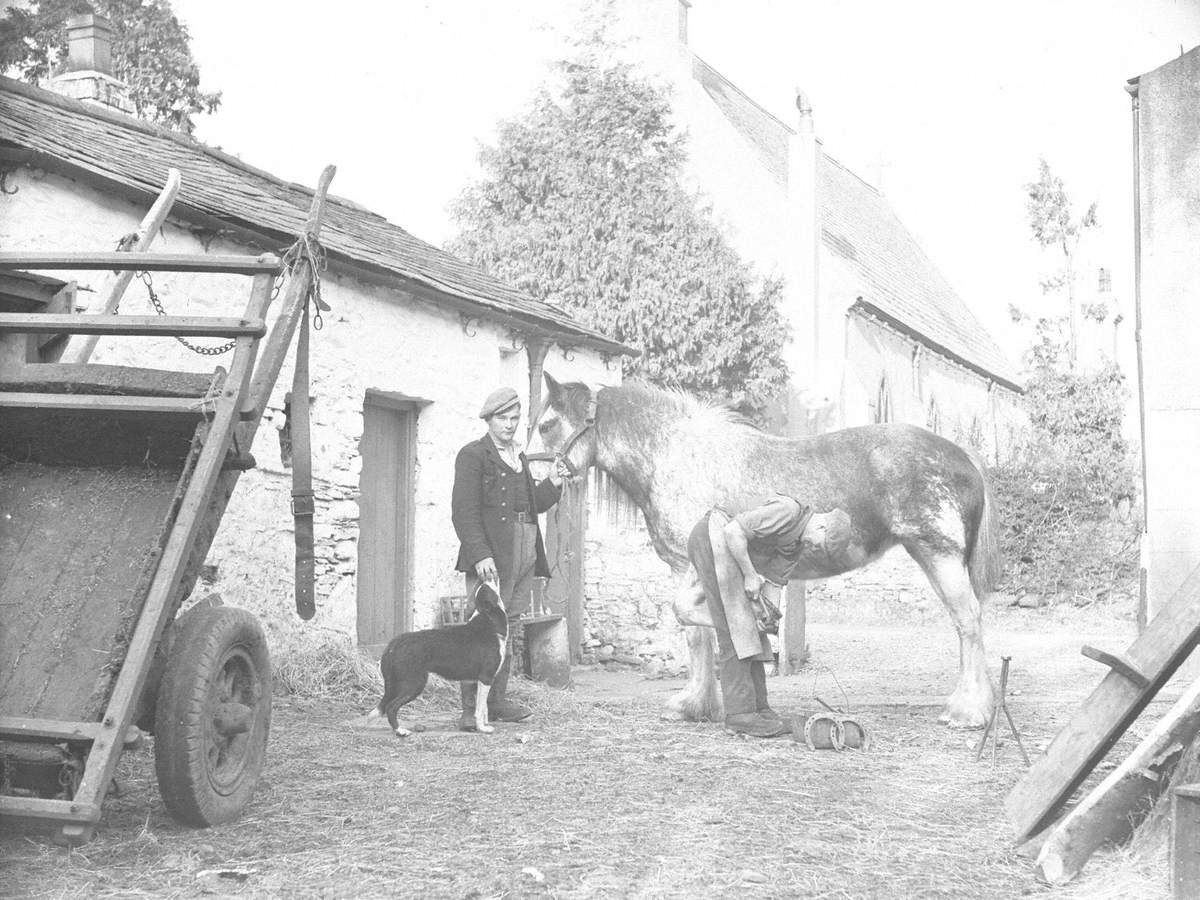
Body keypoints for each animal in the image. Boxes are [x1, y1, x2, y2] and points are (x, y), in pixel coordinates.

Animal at [364, 585, 506, 739]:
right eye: (488, 591)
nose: (483, 581)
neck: (489, 621)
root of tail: (395, 643)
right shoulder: (486, 678)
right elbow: (480, 709)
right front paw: (483, 728)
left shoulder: (480, 681)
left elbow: (484, 707)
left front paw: (484, 724)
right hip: (414, 684)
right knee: (391, 707)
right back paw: (400, 731)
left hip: (397, 684)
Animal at [537, 374, 1003, 734]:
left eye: (544, 425)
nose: (533, 473)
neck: (677, 457)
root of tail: (963, 454)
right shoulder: (682, 567)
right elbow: (695, 634)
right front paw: (695, 705)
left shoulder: (692, 565)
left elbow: (692, 622)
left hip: (938, 554)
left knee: (968, 622)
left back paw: (967, 712)